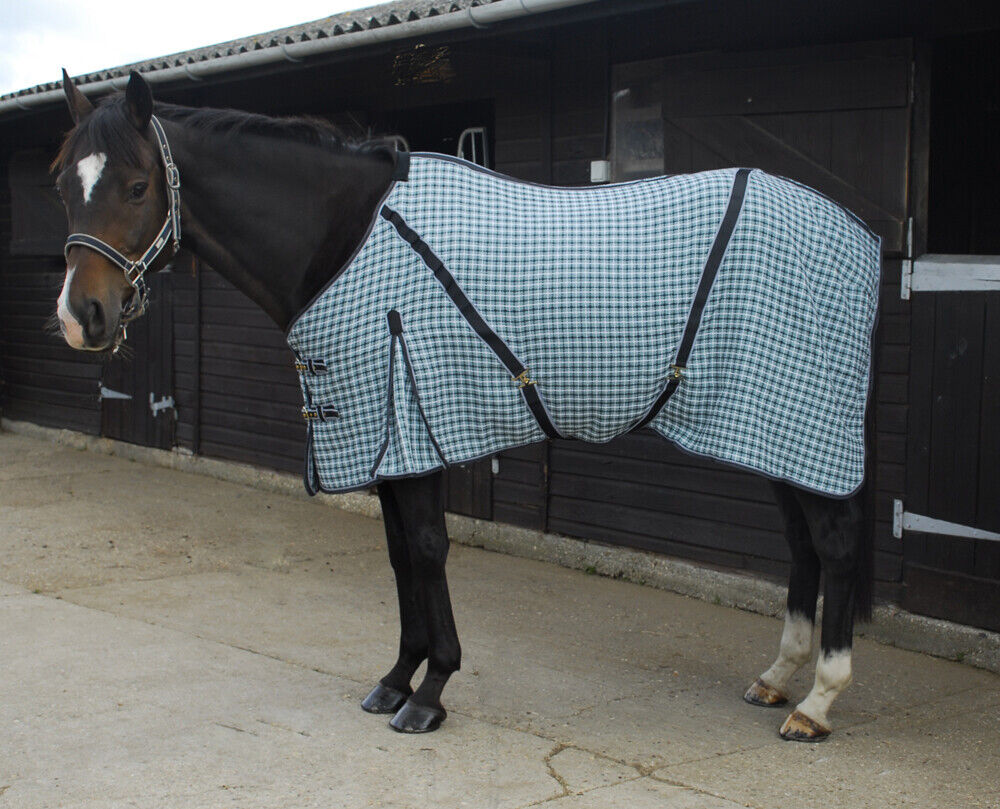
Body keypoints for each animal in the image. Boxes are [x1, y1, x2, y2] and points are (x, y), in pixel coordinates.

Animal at [52, 69, 874, 740]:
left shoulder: (411, 428)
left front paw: (431, 691)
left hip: (804, 418)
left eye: (137, 186)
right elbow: (396, 557)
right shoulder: (385, 439)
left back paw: (819, 701)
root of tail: (855, 231)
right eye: (63, 184)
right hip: (773, 430)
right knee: (803, 545)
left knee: (833, 544)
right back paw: (777, 680)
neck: (346, 238)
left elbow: (424, 549)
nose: (80, 316)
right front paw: (395, 679)